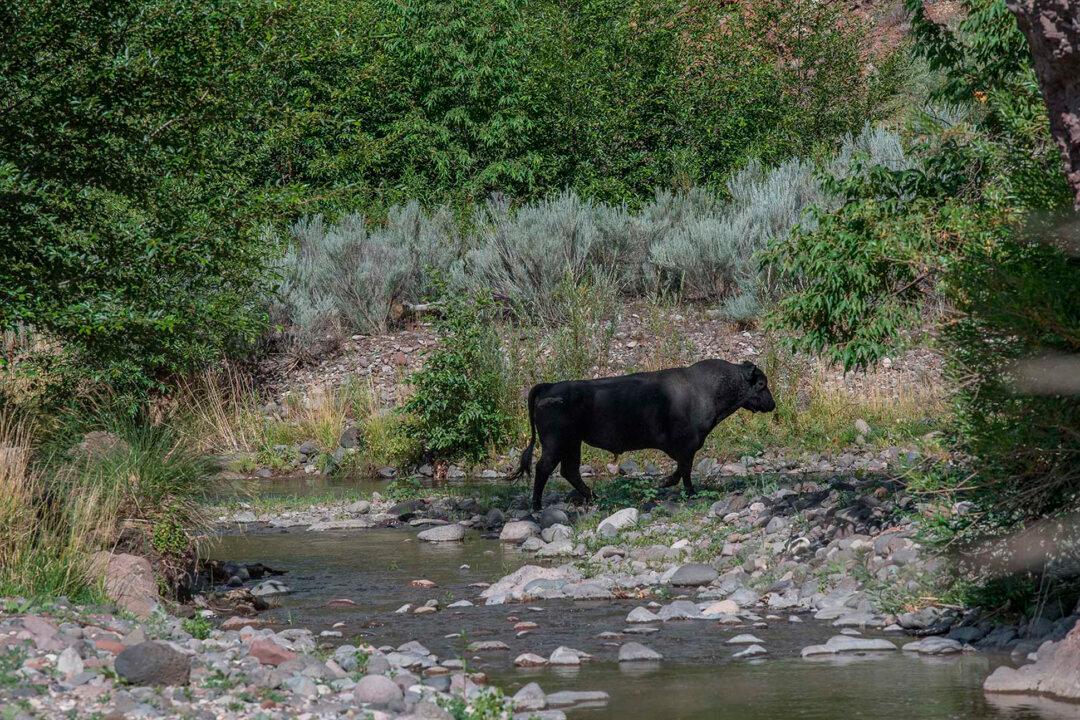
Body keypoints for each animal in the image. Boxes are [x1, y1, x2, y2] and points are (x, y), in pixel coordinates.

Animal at [509, 359, 777, 511]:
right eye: (761, 384)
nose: (772, 404)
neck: (707, 388)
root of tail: (549, 386)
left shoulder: (686, 447)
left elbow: (683, 468)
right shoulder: (688, 445)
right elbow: (685, 469)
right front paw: (679, 487)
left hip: (573, 444)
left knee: (569, 471)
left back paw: (594, 496)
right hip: (556, 443)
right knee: (545, 468)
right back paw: (537, 506)